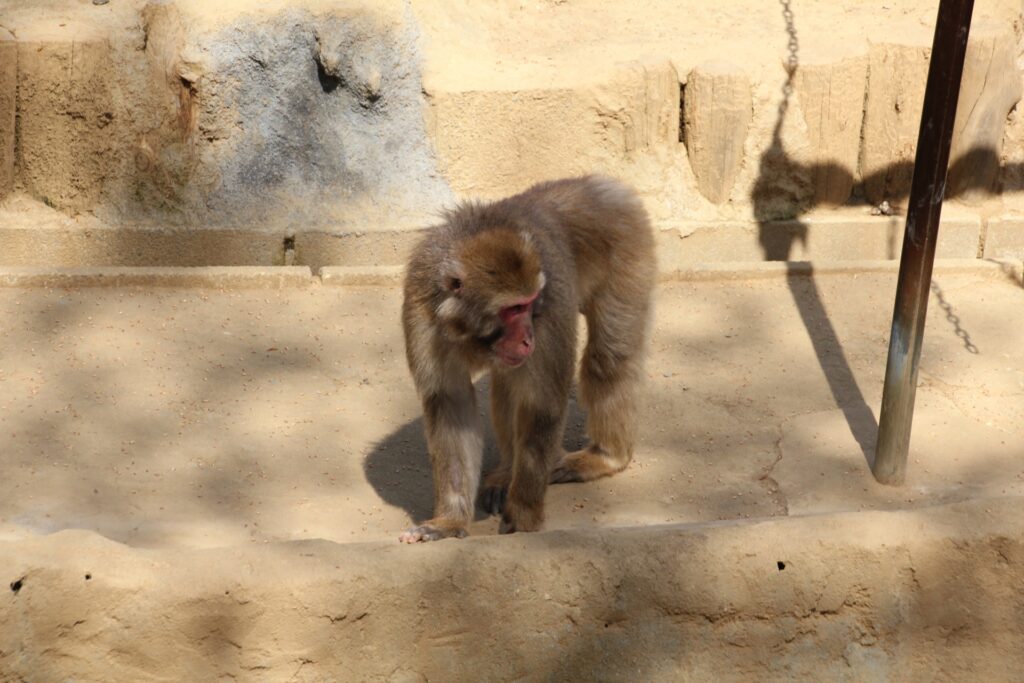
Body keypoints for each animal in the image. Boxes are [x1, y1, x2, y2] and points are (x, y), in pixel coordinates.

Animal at [399, 176, 655, 544]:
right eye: (513, 308)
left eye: (531, 302)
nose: (527, 338)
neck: (465, 331)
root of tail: (597, 184)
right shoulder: (421, 312)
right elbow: (450, 406)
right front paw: (448, 521)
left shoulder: (550, 308)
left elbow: (541, 407)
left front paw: (523, 517)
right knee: (509, 381)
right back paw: (507, 473)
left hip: (629, 249)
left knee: (608, 359)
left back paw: (606, 457)